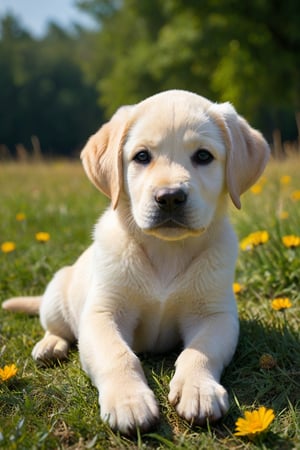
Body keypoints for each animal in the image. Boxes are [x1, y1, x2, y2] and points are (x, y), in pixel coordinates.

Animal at [2, 89, 270, 434]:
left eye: (203, 156)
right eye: (141, 156)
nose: (170, 197)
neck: (166, 252)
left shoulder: (215, 315)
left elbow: (200, 352)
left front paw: (198, 389)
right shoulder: (103, 314)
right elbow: (118, 355)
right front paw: (128, 401)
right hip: (57, 296)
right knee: (58, 328)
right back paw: (50, 346)